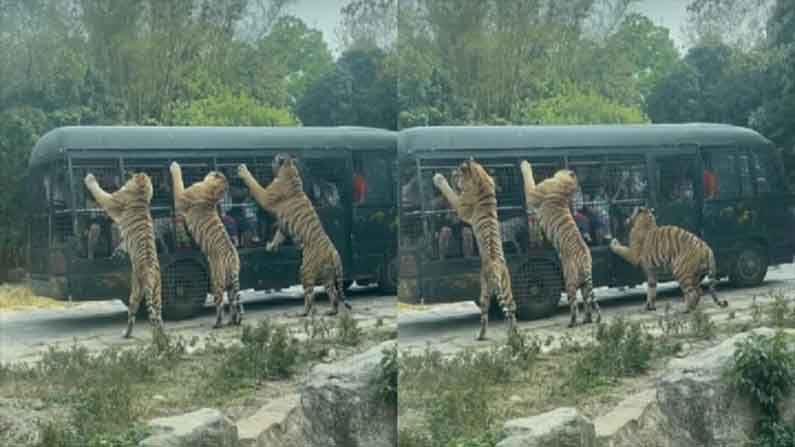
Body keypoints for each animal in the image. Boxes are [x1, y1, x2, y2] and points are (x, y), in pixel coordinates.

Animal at [83, 173, 164, 342]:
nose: (130, 175)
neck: (141, 194)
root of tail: (150, 274)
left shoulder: (112, 200)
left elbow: (100, 193)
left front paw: (90, 178)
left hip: (135, 291)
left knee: (135, 315)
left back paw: (128, 334)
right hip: (157, 293)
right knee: (158, 318)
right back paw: (163, 338)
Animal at [168, 163, 243, 328]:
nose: (214, 171)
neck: (213, 194)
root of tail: (233, 259)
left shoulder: (181, 196)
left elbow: (178, 180)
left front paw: (175, 165)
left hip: (217, 281)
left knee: (220, 304)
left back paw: (217, 324)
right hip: (231, 284)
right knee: (234, 303)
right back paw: (233, 321)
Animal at [235, 156, 350, 316]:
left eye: (275, 158)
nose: (271, 160)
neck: (290, 171)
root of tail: (333, 252)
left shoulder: (266, 197)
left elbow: (254, 184)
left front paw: (243, 170)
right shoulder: (283, 226)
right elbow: (278, 236)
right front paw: (271, 246)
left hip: (305, 269)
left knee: (310, 295)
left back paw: (303, 312)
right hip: (327, 275)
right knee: (333, 293)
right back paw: (331, 311)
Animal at [432, 159, 520, 342]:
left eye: (459, 172)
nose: (453, 173)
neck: (481, 179)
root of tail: (495, 268)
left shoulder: (460, 205)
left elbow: (450, 192)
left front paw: (439, 178)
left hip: (484, 290)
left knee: (485, 315)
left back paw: (481, 335)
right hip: (507, 288)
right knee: (511, 310)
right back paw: (513, 334)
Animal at [520, 159, 600, 328]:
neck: (565, 188)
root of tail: (585, 257)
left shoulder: (532, 193)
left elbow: (529, 179)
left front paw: (525, 164)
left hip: (569, 279)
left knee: (574, 303)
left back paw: (572, 322)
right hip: (584, 283)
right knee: (587, 301)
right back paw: (587, 319)